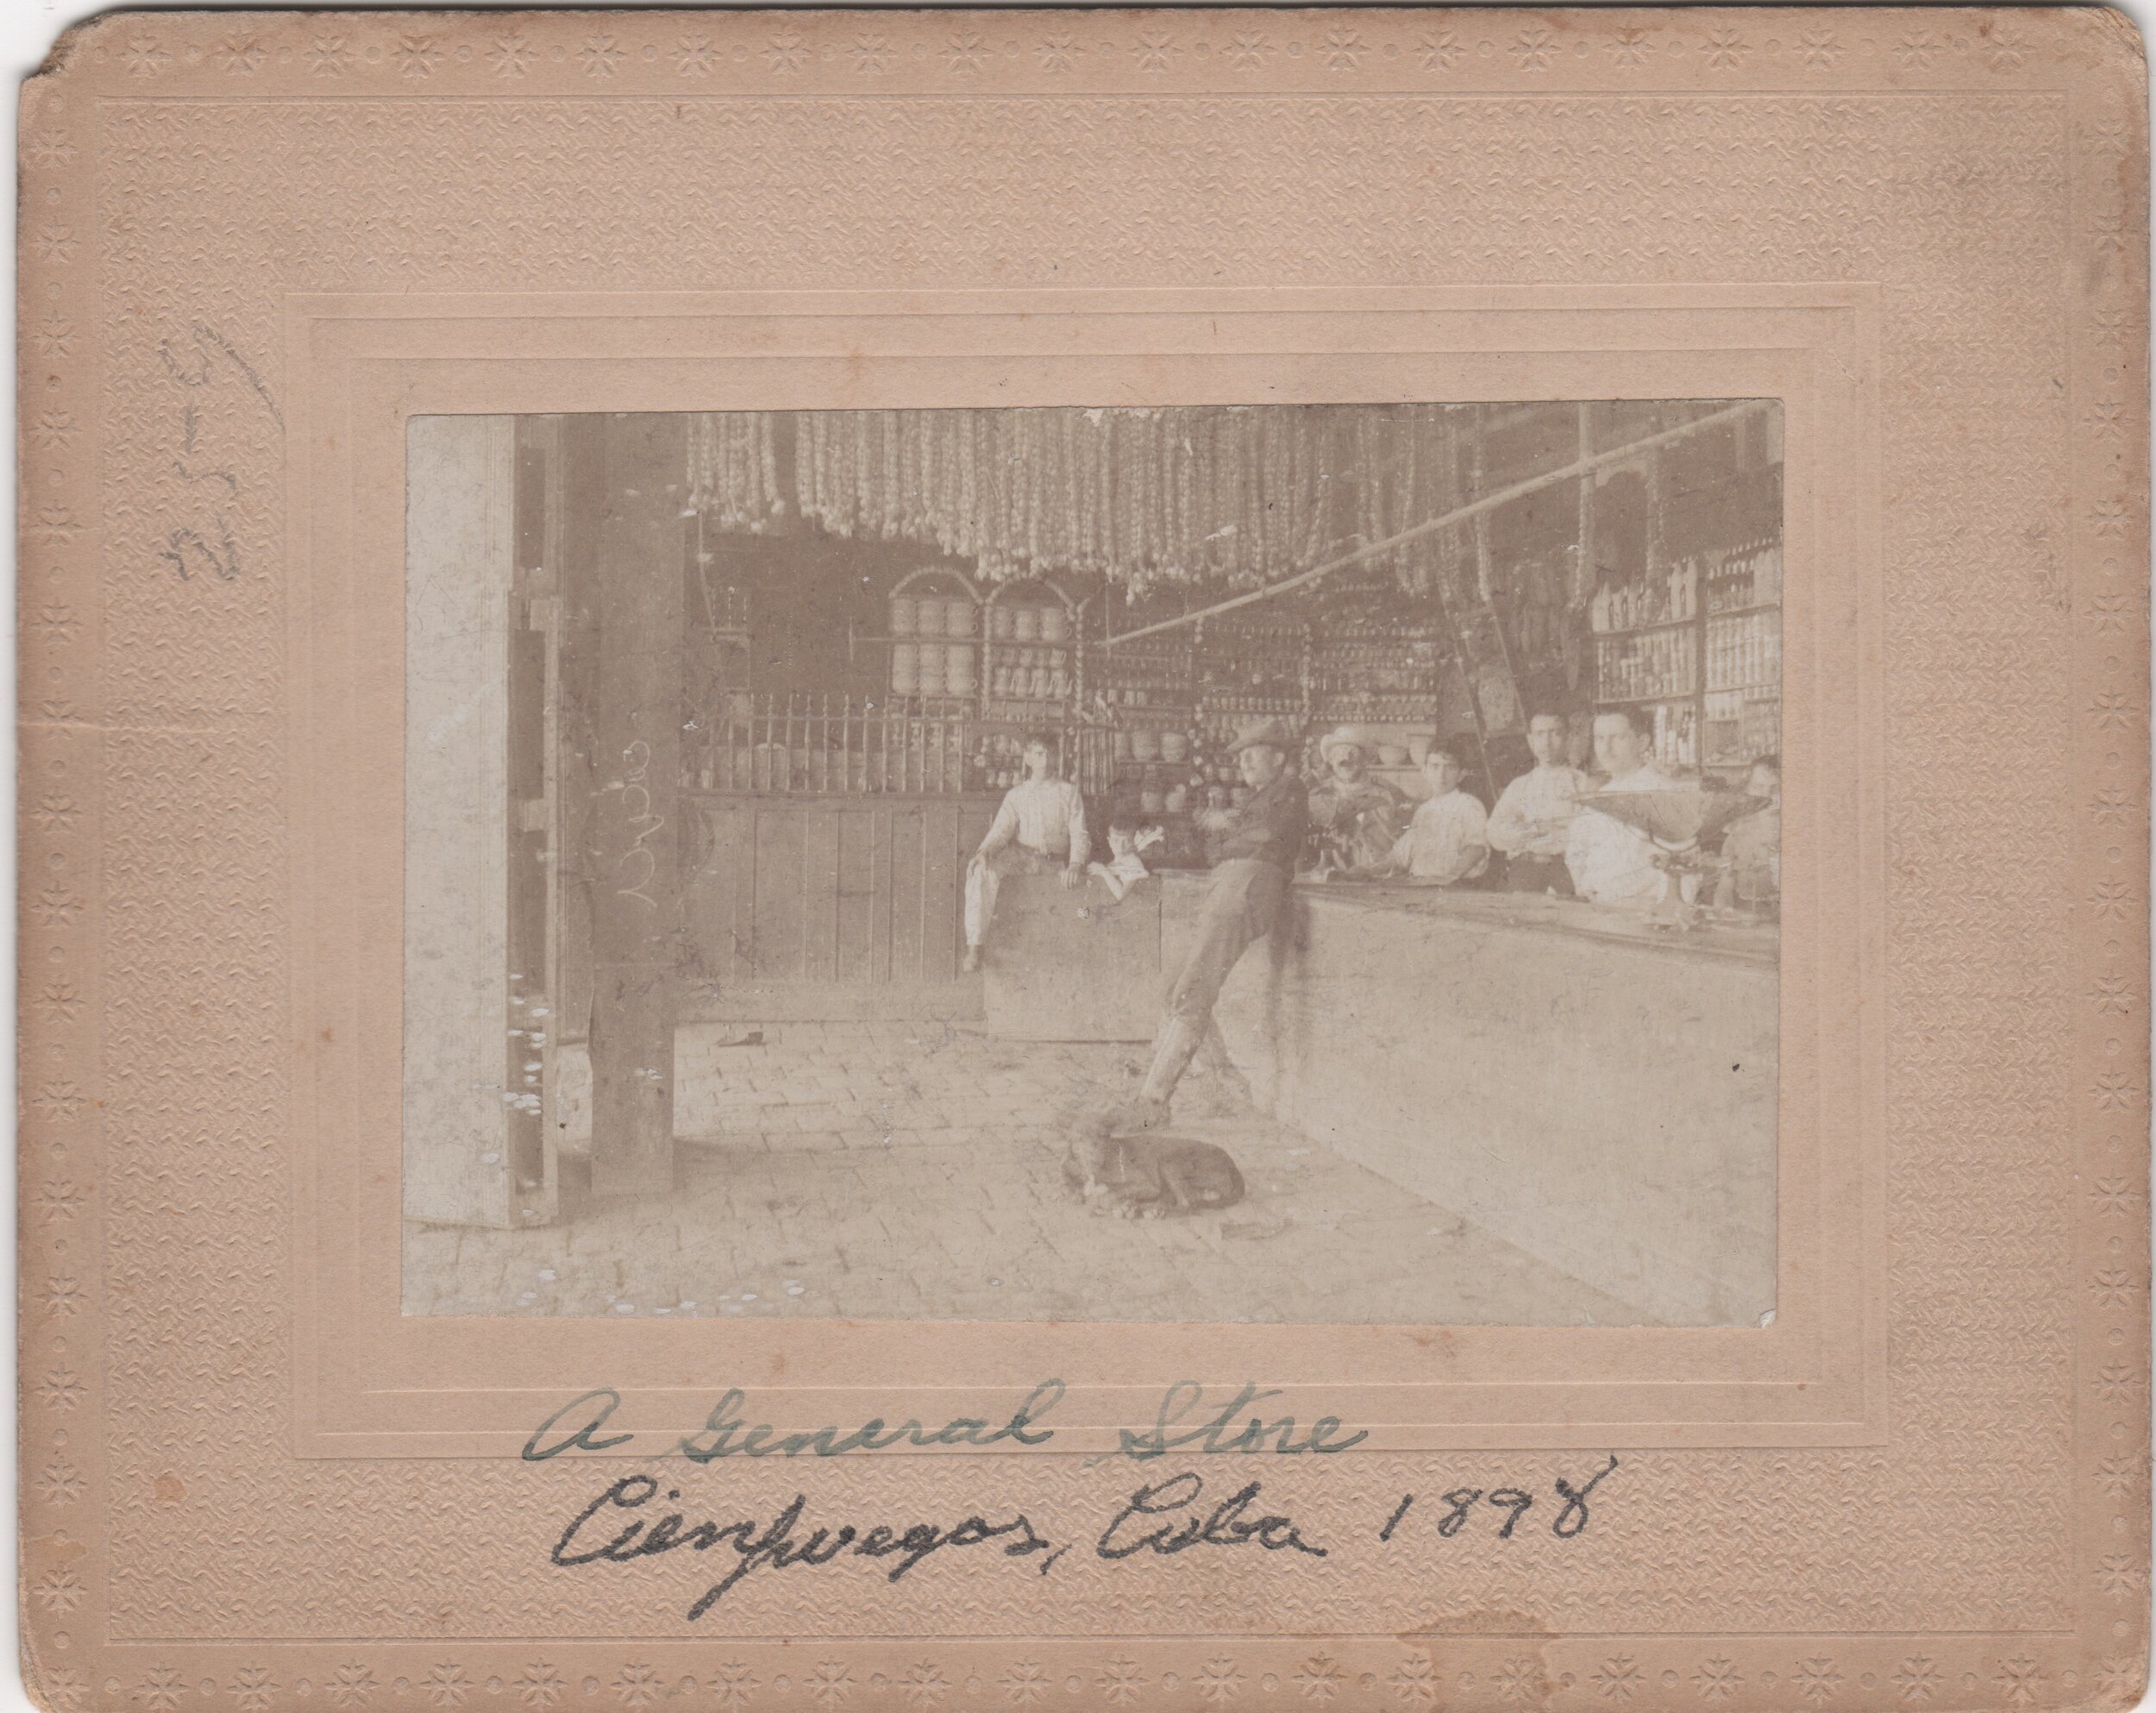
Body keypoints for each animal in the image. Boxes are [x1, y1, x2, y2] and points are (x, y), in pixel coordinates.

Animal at [1061, 1095, 1250, 1216]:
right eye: (1080, 1137)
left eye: (1103, 1136)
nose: (1094, 1154)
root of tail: (1232, 1165)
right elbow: (1069, 1183)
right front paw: (1076, 1192)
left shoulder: (1148, 1184)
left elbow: (1109, 1195)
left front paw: (1109, 1202)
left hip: (1169, 1162)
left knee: (1187, 1204)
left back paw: (1152, 1210)